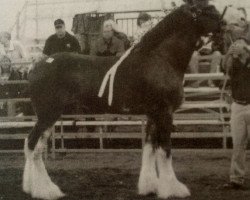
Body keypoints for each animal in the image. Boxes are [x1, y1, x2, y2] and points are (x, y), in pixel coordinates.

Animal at [22, 0, 233, 199]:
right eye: (208, 10)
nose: (226, 33)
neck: (161, 58)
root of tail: (35, 67)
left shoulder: (152, 115)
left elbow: (150, 148)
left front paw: (150, 186)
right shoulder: (164, 113)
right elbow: (165, 151)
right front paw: (173, 189)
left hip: (49, 117)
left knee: (33, 146)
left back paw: (36, 188)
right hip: (48, 115)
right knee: (33, 145)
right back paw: (45, 191)